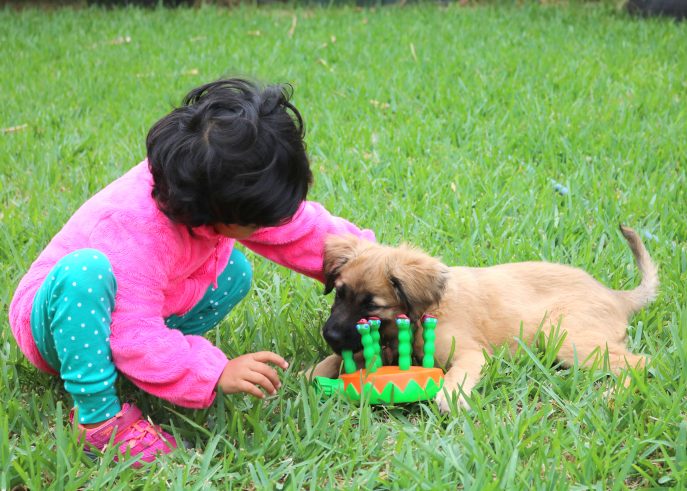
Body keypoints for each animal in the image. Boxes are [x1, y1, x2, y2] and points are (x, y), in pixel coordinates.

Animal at [310, 227, 656, 412]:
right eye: (339, 293)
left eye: (372, 306)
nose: (330, 335)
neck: (427, 311)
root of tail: (616, 296)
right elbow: (338, 359)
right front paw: (310, 372)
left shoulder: (471, 354)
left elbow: (457, 374)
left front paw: (449, 396)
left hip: (565, 337)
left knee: (639, 363)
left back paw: (611, 396)